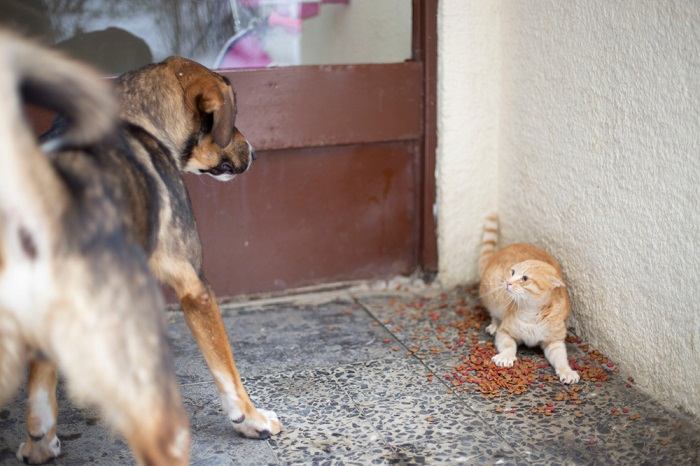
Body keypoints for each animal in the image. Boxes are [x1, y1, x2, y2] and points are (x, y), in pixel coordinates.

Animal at [476, 214, 580, 382]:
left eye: (524, 278)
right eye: (512, 272)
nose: (508, 282)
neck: (532, 312)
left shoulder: (554, 341)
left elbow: (561, 358)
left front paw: (567, 371)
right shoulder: (505, 332)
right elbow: (509, 346)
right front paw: (505, 357)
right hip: (492, 293)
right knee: (494, 312)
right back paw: (494, 324)